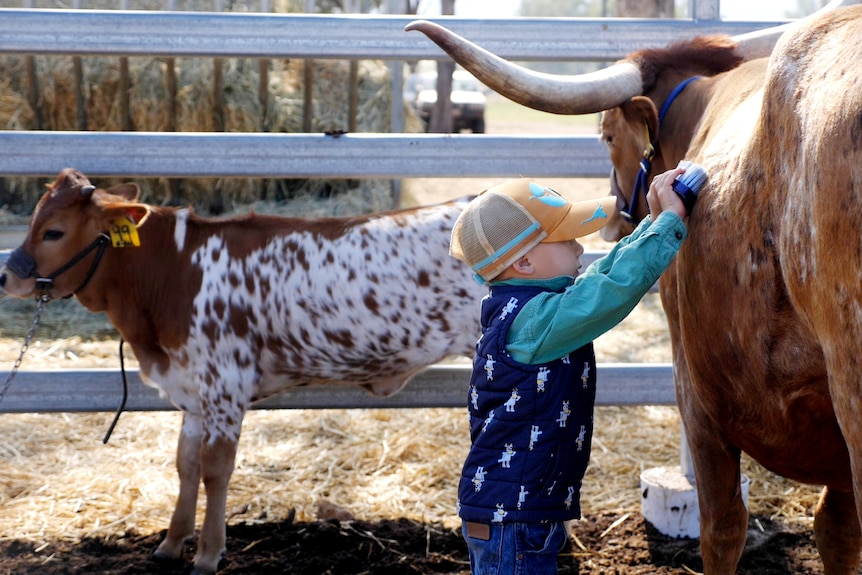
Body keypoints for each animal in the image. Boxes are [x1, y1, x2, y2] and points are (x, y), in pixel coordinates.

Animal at [0, 169, 486, 572]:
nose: (6, 277)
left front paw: (207, 554)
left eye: (54, 232)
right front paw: (171, 544)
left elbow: (215, 468)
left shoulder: (224, 383)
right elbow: (186, 464)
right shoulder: (193, 392)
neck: (175, 270)